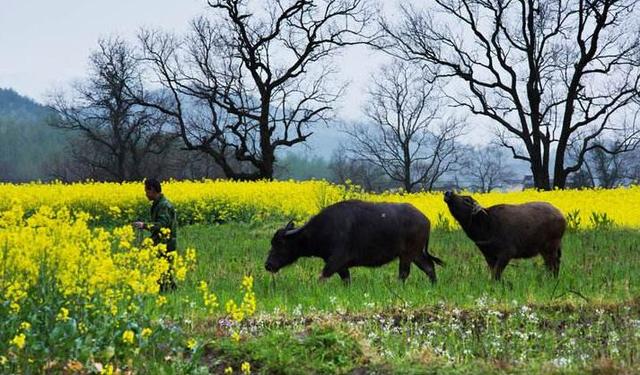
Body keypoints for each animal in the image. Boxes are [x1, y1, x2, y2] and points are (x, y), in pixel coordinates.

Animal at [264, 200, 444, 284]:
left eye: (279, 244)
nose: (268, 265)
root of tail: (426, 219)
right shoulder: (341, 266)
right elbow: (346, 280)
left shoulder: (335, 261)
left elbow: (321, 277)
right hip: (415, 254)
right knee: (429, 267)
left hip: (408, 254)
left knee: (404, 274)